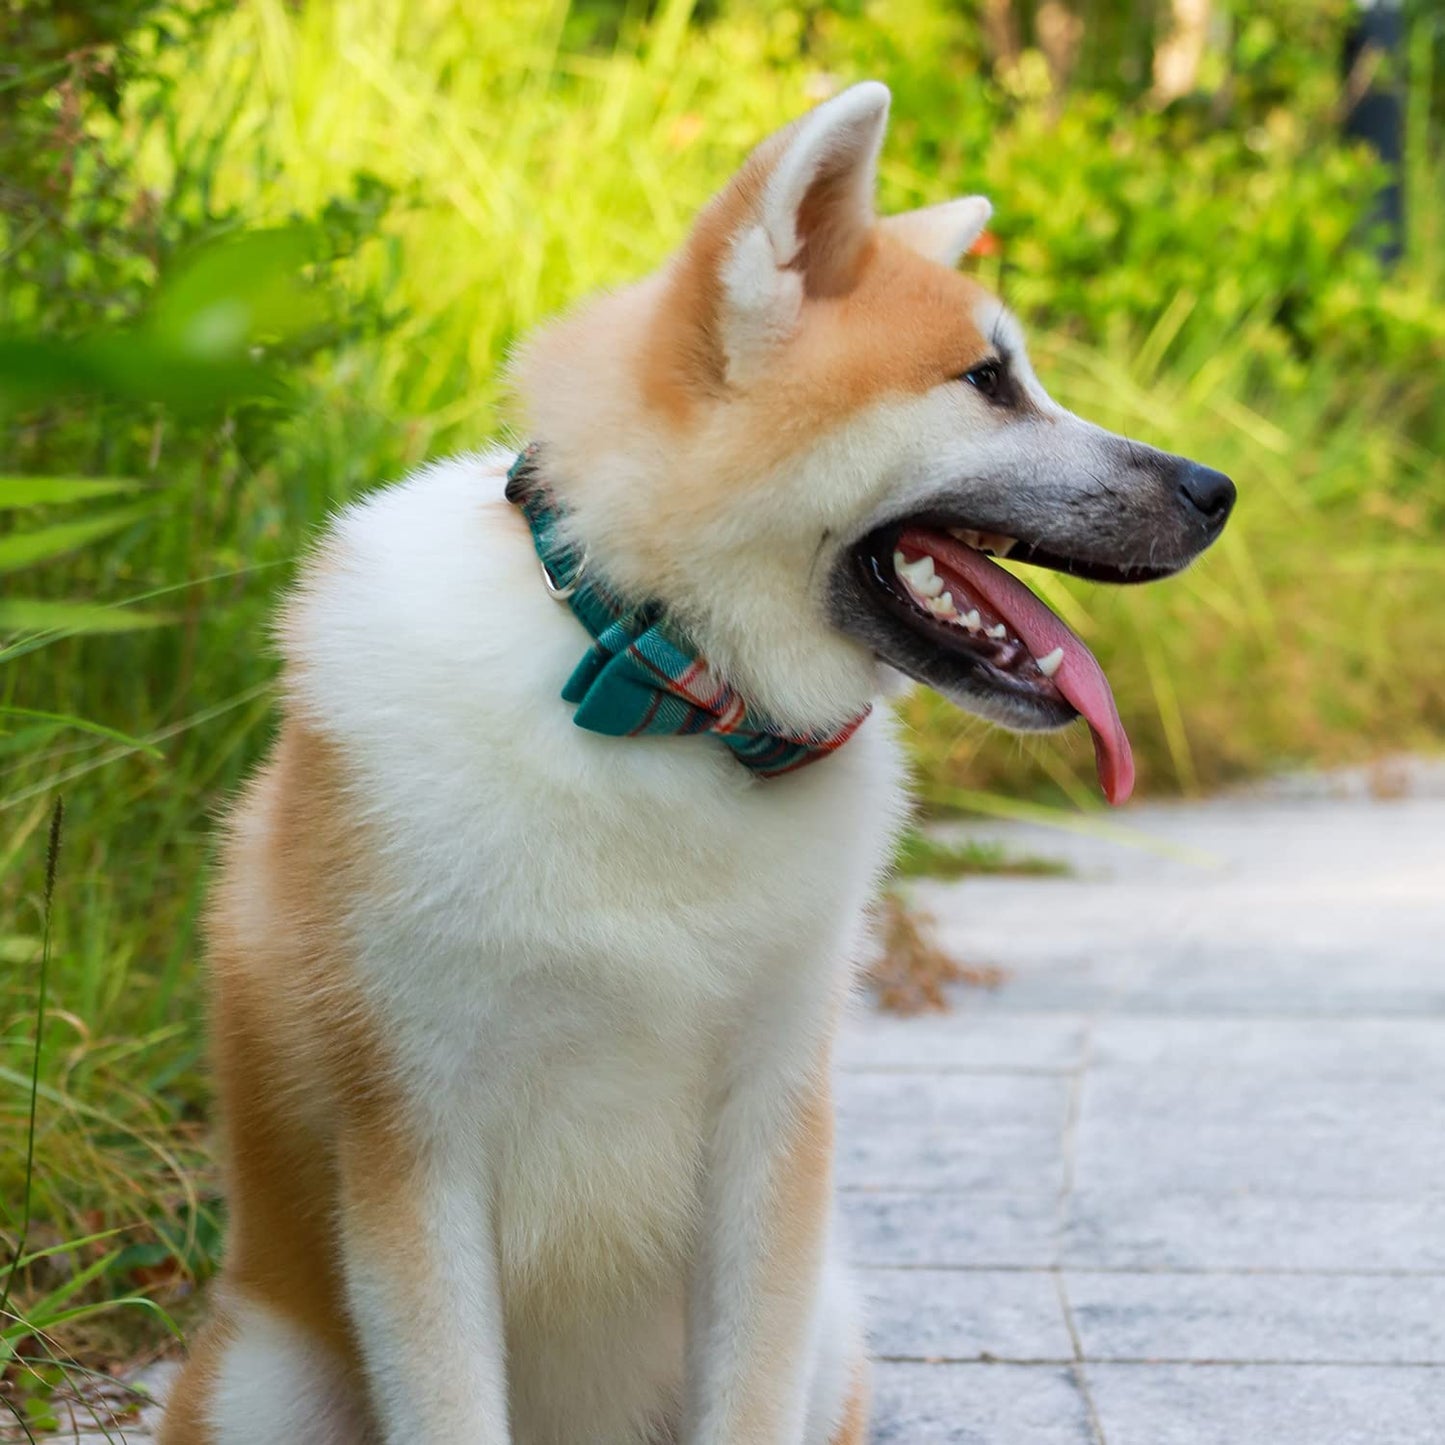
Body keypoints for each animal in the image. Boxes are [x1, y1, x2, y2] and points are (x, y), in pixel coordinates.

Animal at [161, 82, 1231, 1445]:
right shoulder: (413, 1146)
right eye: (987, 380)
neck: (665, 705)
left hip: (830, 1330)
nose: (1216, 488)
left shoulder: (769, 1137)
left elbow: (747, 1390)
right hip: (267, 1378)